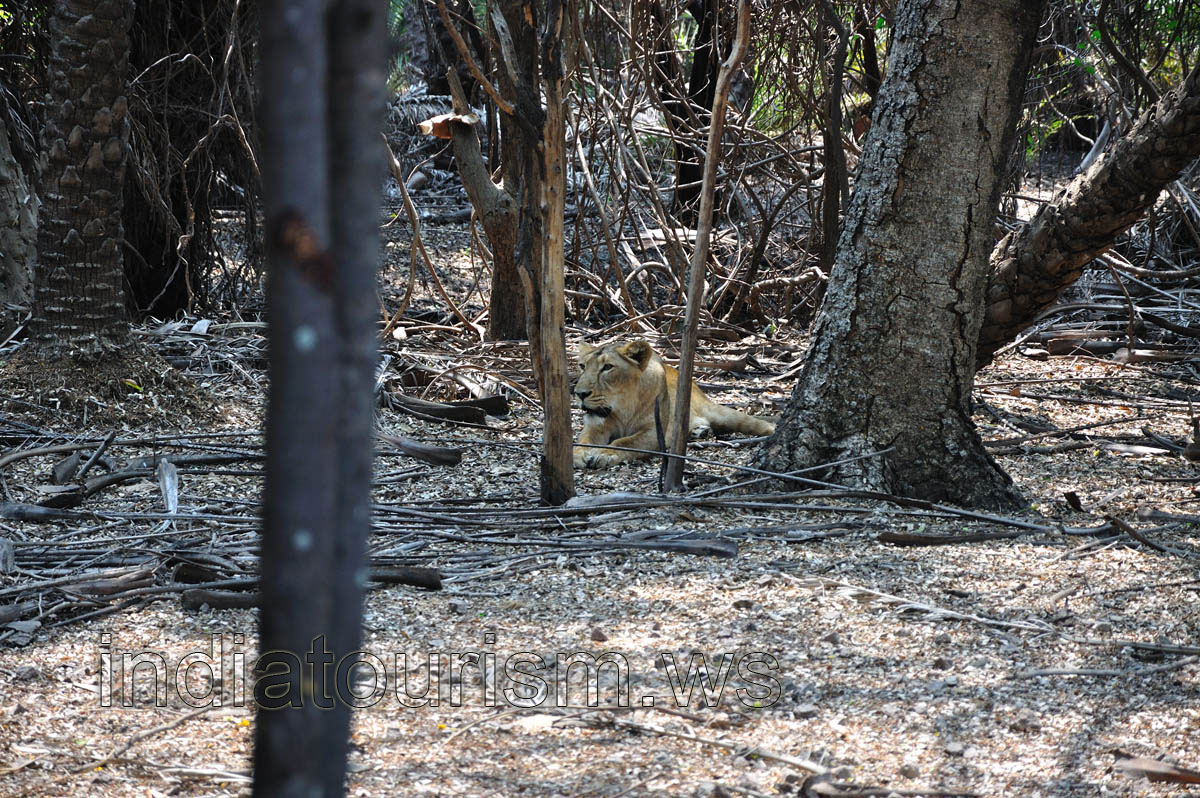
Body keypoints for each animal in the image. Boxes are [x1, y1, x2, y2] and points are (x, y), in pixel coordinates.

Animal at [572, 339, 775, 469]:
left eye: (607, 367)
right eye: (582, 366)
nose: (580, 393)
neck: (623, 407)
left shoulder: (656, 431)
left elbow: (627, 442)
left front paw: (606, 454)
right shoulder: (595, 425)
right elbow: (585, 439)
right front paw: (578, 454)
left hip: (722, 413)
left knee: (758, 424)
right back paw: (699, 431)